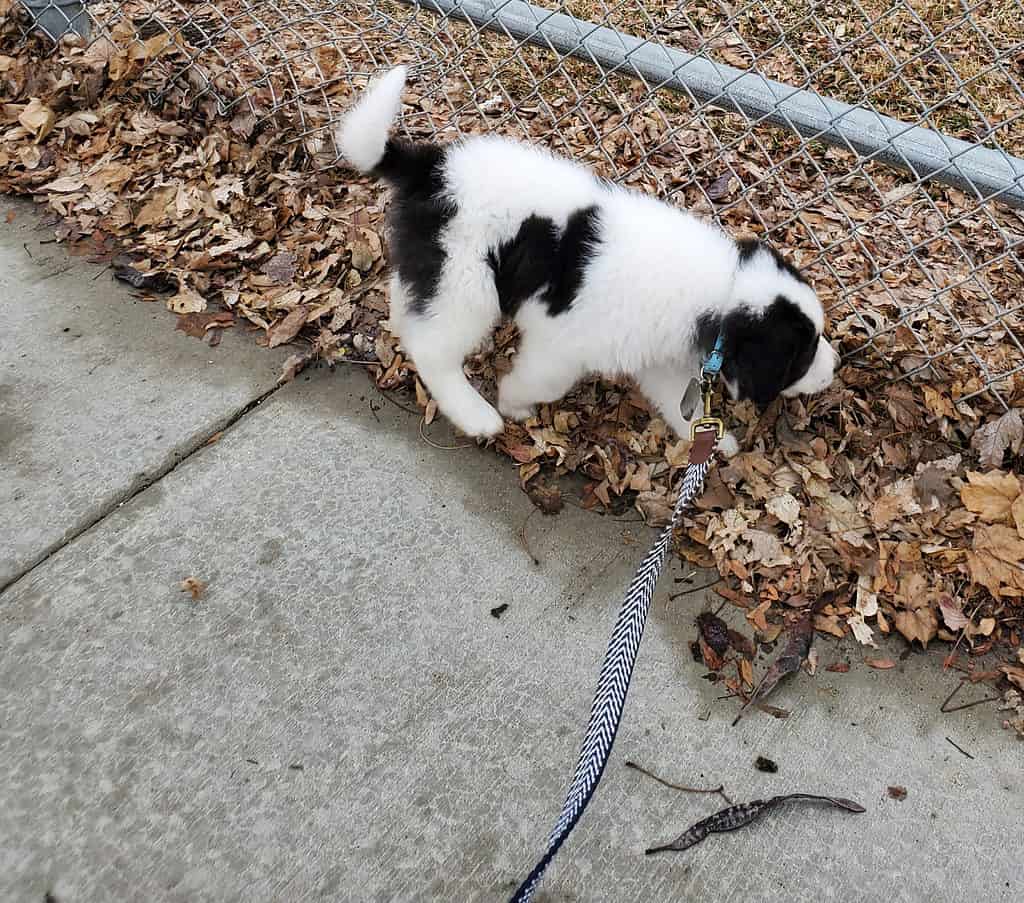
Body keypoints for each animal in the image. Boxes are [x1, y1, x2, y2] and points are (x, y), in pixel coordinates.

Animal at [339, 66, 835, 454]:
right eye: (804, 353)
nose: (834, 369)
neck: (724, 291)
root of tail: (433, 167)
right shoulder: (564, 344)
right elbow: (543, 380)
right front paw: (514, 402)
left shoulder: (653, 352)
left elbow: (675, 398)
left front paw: (709, 440)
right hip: (468, 283)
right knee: (433, 349)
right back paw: (475, 413)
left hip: (441, 269)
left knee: (413, 305)